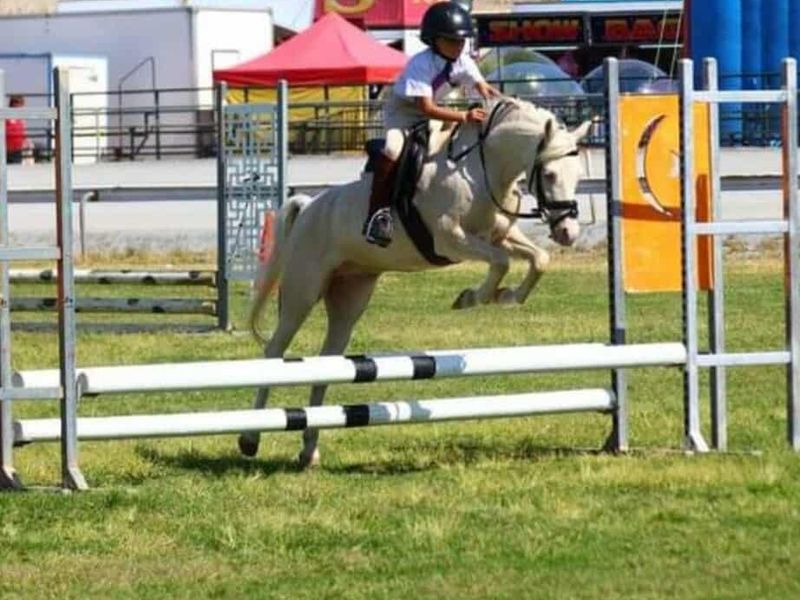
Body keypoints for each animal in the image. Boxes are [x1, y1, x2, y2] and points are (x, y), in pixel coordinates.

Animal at [242, 97, 592, 467]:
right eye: (550, 174)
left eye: (578, 175)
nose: (567, 232)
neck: (480, 170)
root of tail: (309, 205)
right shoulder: (450, 239)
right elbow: (500, 262)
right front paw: (472, 297)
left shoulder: (500, 235)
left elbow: (538, 260)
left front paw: (507, 296)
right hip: (303, 289)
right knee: (274, 351)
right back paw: (250, 438)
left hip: (350, 295)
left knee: (329, 361)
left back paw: (309, 451)